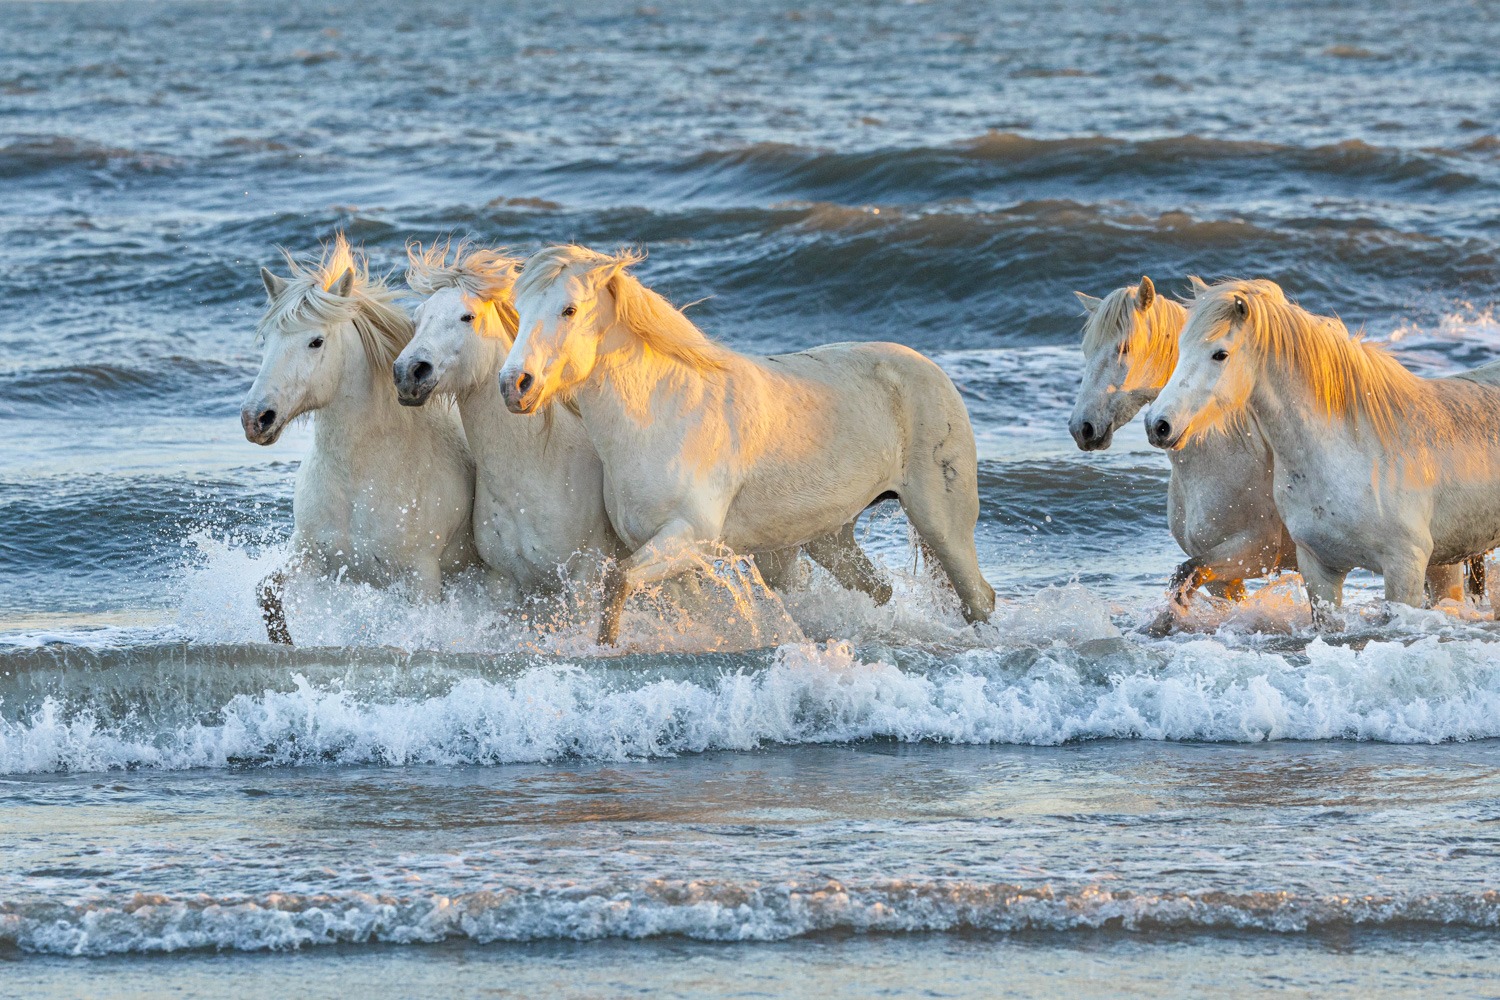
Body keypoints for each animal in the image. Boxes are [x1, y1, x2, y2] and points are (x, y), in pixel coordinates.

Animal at [241, 234, 476, 643]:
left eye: (316, 341)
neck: (359, 479)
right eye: (266, 339)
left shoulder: (423, 578)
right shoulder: (310, 554)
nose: (256, 419)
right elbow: (267, 593)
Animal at [496, 244, 994, 645]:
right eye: (519, 308)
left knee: (978, 598)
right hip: (831, 536)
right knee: (880, 590)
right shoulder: (669, 552)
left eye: (569, 310)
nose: (514, 386)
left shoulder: (690, 537)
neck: (662, 415)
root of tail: (929, 369)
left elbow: (617, 582)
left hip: (941, 521)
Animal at [1143, 277, 1500, 626]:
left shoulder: (1405, 566)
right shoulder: (1319, 568)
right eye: (1181, 349)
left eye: (1220, 354)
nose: (1157, 424)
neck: (1357, 453)